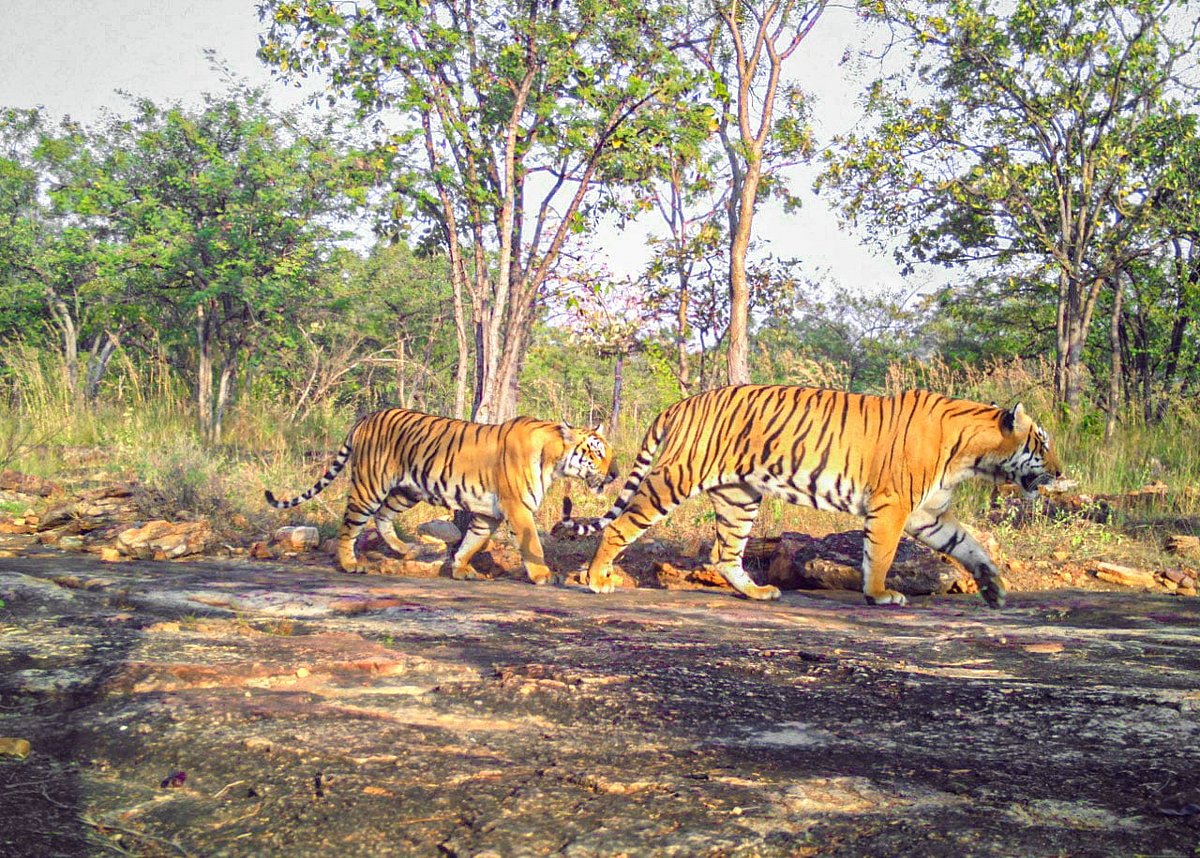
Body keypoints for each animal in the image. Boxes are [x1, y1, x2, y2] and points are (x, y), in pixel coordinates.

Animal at [265, 408, 618, 584]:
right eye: (597, 453)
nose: (615, 474)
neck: (554, 459)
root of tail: (366, 417)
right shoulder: (517, 507)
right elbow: (532, 544)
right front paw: (543, 575)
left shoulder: (488, 513)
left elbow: (472, 541)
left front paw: (461, 569)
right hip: (370, 485)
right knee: (350, 525)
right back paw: (350, 563)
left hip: (406, 490)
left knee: (382, 517)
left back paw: (403, 550)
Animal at [558, 385, 1061, 608]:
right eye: (1042, 443)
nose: (1060, 473)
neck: (973, 455)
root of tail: (683, 402)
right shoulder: (893, 505)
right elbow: (880, 554)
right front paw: (880, 595)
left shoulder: (928, 514)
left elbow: (970, 545)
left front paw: (993, 588)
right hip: (675, 479)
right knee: (621, 526)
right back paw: (597, 578)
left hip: (739, 497)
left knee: (725, 554)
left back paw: (758, 592)